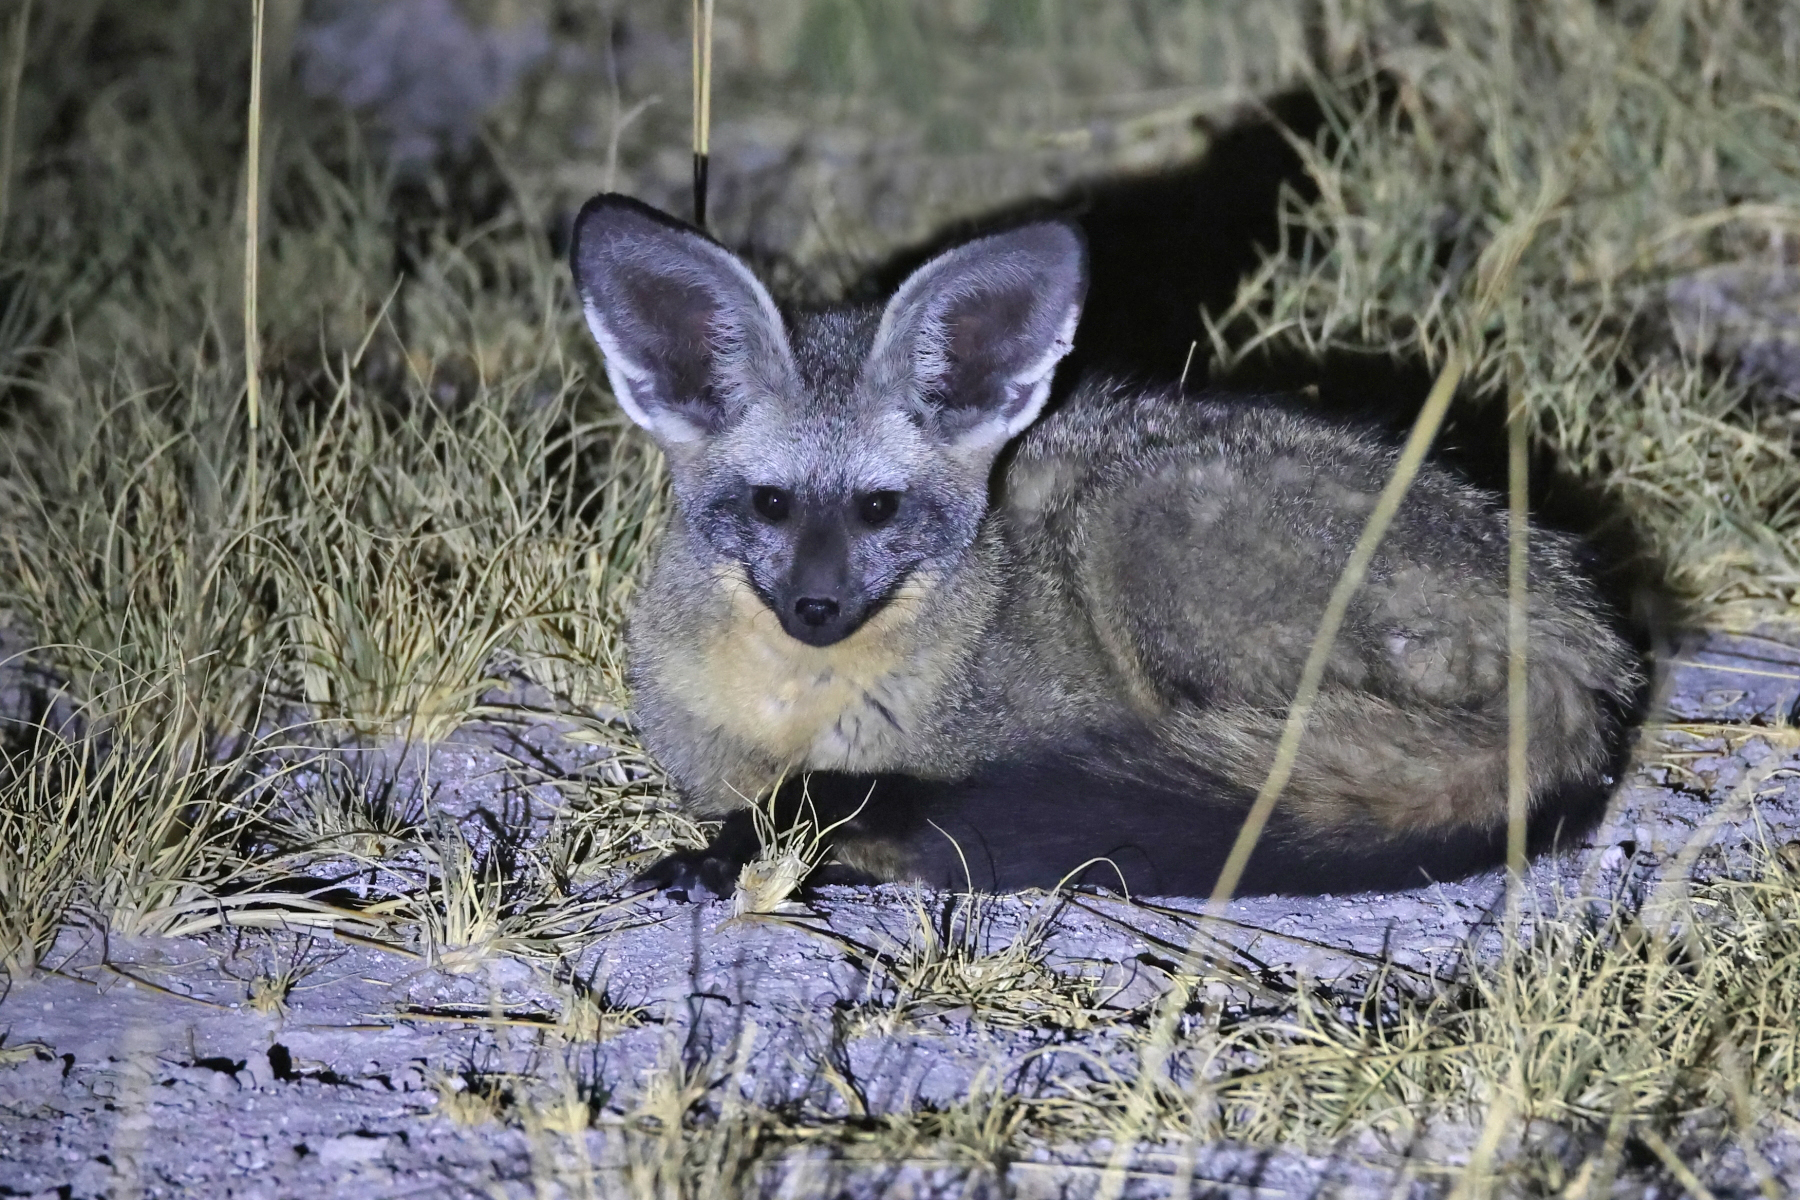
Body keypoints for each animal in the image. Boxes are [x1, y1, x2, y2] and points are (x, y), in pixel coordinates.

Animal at [567, 193, 1641, 899]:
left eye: (879, 508)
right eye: (770, 505)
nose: (815, 610)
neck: (804, 711)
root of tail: (1584, 646)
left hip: (1137, 536)